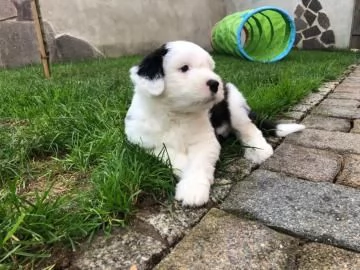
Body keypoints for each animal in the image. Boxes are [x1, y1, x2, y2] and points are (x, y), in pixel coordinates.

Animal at [125, 40, 306, 207]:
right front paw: (186, 173)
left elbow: (199, 162)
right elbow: (171, 156)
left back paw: (259, 150)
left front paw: (193, 190)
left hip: (234, 102)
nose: (215, 83)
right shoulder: (145, 143)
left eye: (210, 68)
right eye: (184, 68)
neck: (176, 114)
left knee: (248, 128)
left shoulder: (206, 140)